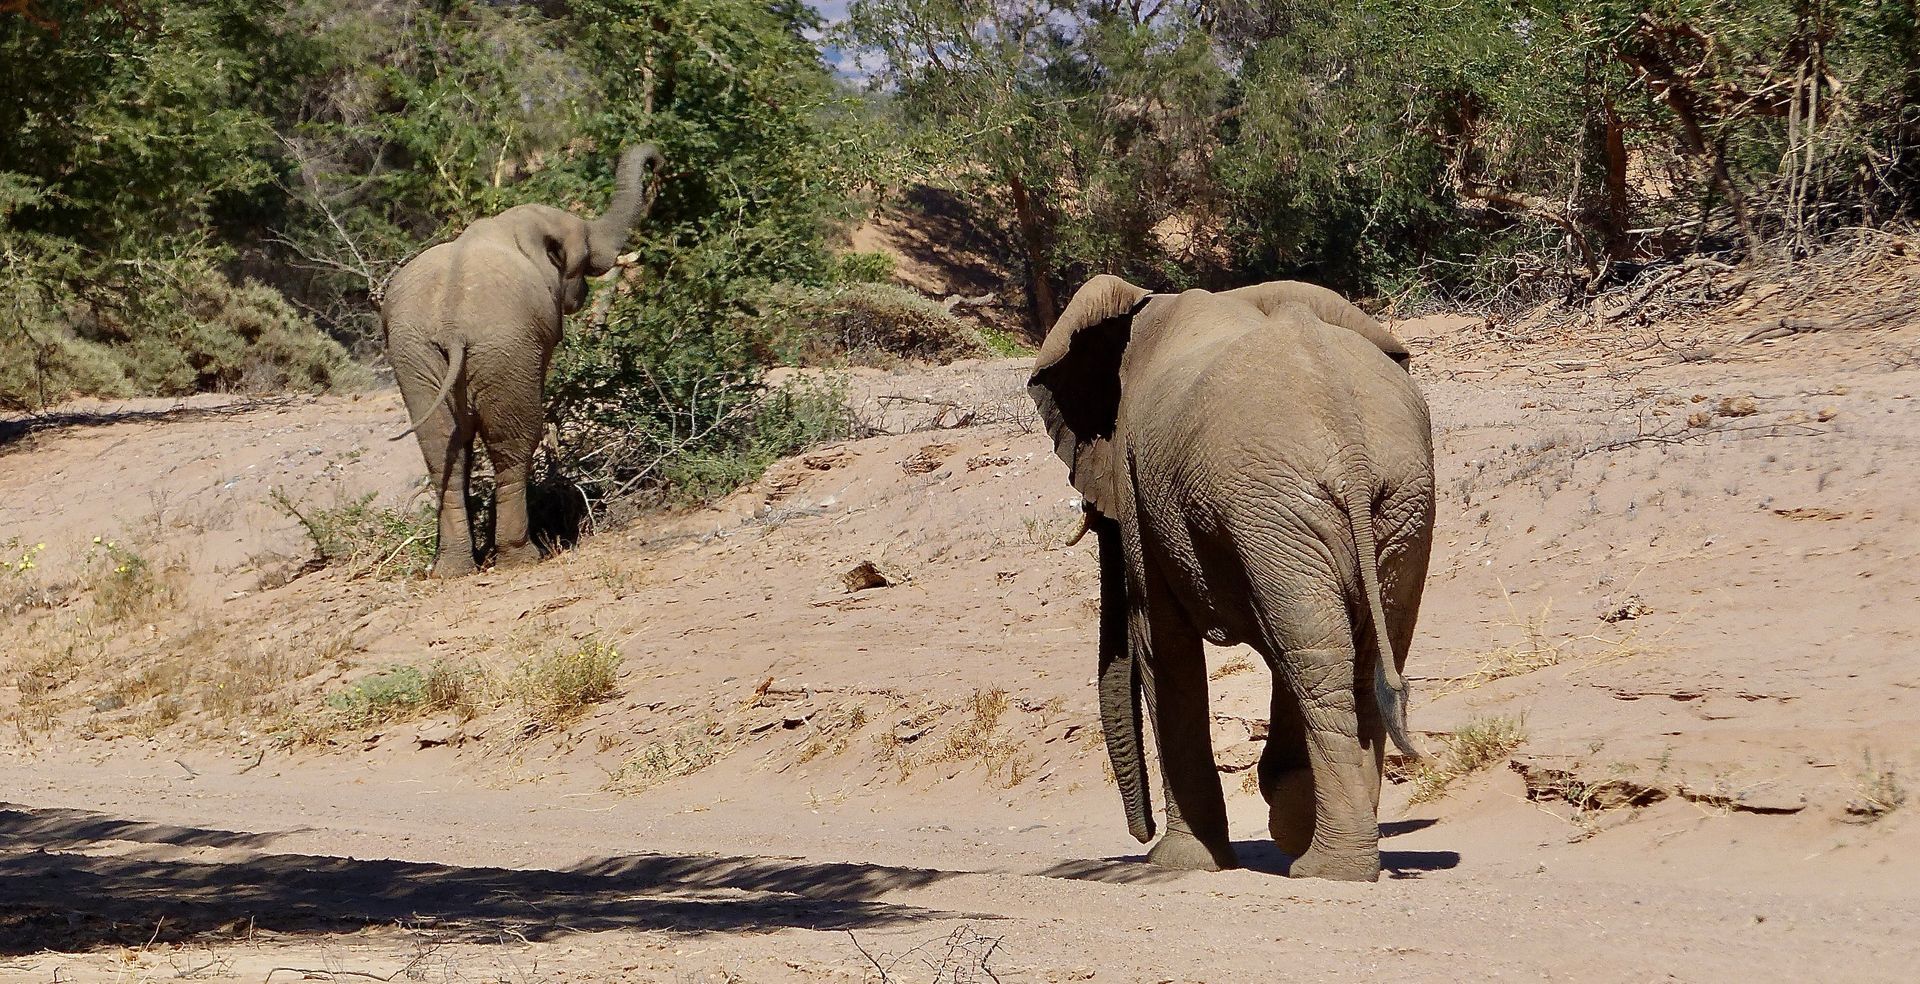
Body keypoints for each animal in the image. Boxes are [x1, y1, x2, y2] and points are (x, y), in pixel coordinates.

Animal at [382, 143, 663, 577]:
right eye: (582, 250)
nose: (659, 164)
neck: (510, 225)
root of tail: (452, 325)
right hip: (502, 348)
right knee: (512, 445)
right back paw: (523, 557)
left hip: (414, 355)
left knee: (443, 450)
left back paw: (453, 569)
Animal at [1028, 275, 1434, 881]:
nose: (1139, 833)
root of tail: (1349, 444)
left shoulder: (1139, 487)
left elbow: (1161, 644)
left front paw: (1181, 862)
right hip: (1382, 505)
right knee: (1348, 654)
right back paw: (1331, 851)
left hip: (1284, 508)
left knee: (1313, 658)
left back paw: (1326, 868)